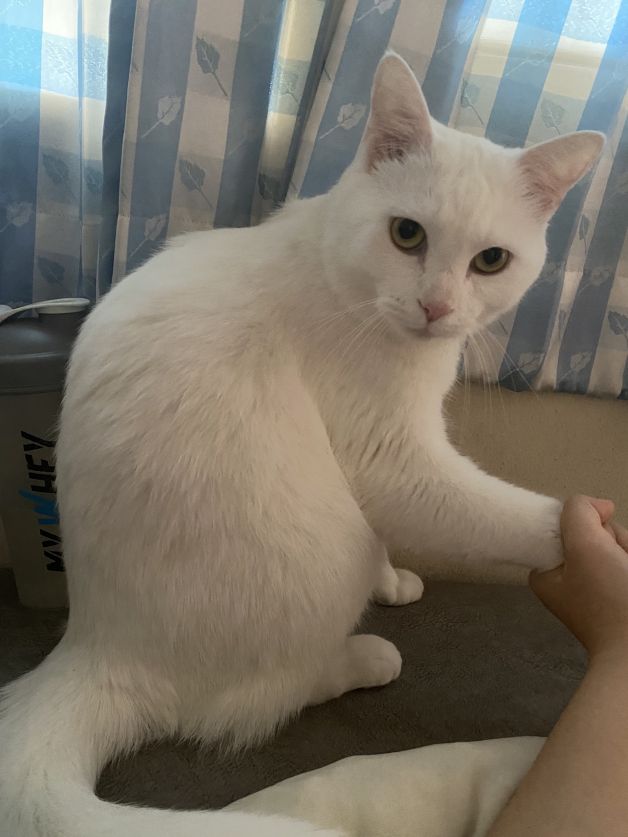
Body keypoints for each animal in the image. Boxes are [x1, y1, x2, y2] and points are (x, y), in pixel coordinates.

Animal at [0, 53, 603, 837]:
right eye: (407, 235)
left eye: (491, 260)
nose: (437, 306)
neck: (338, 270)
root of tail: (95, 648)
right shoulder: (393, 459)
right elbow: (509, 515)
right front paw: (591, 532)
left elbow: (389, 538)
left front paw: (394, 578)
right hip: (316, 557)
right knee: (258, 697)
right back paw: (364, 657)